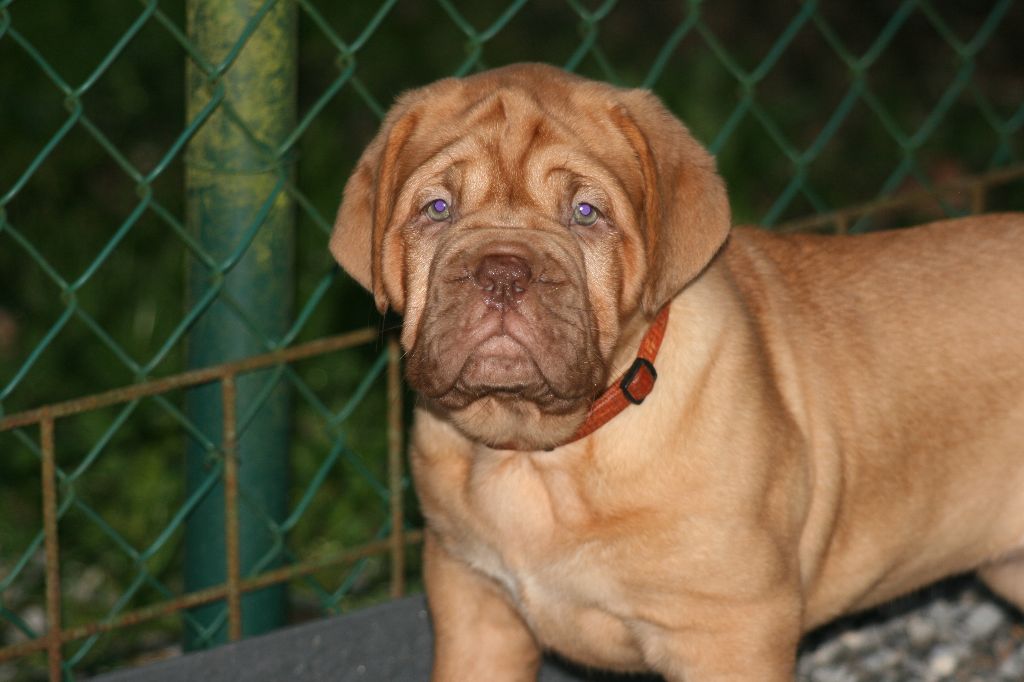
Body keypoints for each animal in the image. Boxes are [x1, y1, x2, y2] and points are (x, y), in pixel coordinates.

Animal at [330, 63, 1024, 681]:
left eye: (586, 214)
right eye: (437, 208)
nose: (502, 272)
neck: (540, 455)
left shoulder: (730, 632)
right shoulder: (473, 601)